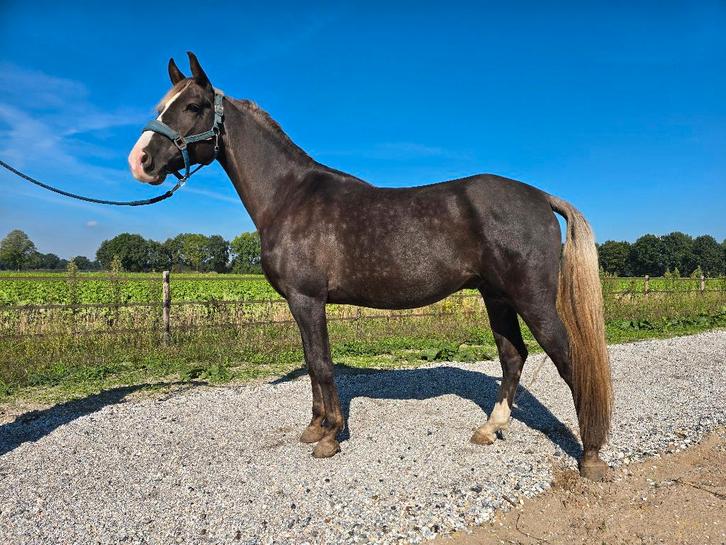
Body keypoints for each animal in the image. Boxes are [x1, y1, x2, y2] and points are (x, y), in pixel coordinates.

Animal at [129, 52, 613, 480]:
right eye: (161, 106)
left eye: (193, 106)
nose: (140, 162)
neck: (290, 196)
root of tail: (541, 197)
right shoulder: (300, 304)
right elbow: (312, 363)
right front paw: (314, 428)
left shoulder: (308, 300)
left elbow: (322, 363)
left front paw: (329, 436)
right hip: (496, 296)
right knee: (513, 356)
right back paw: (490, 429)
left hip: (532, 298)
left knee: (569, 359)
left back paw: (590, 456)